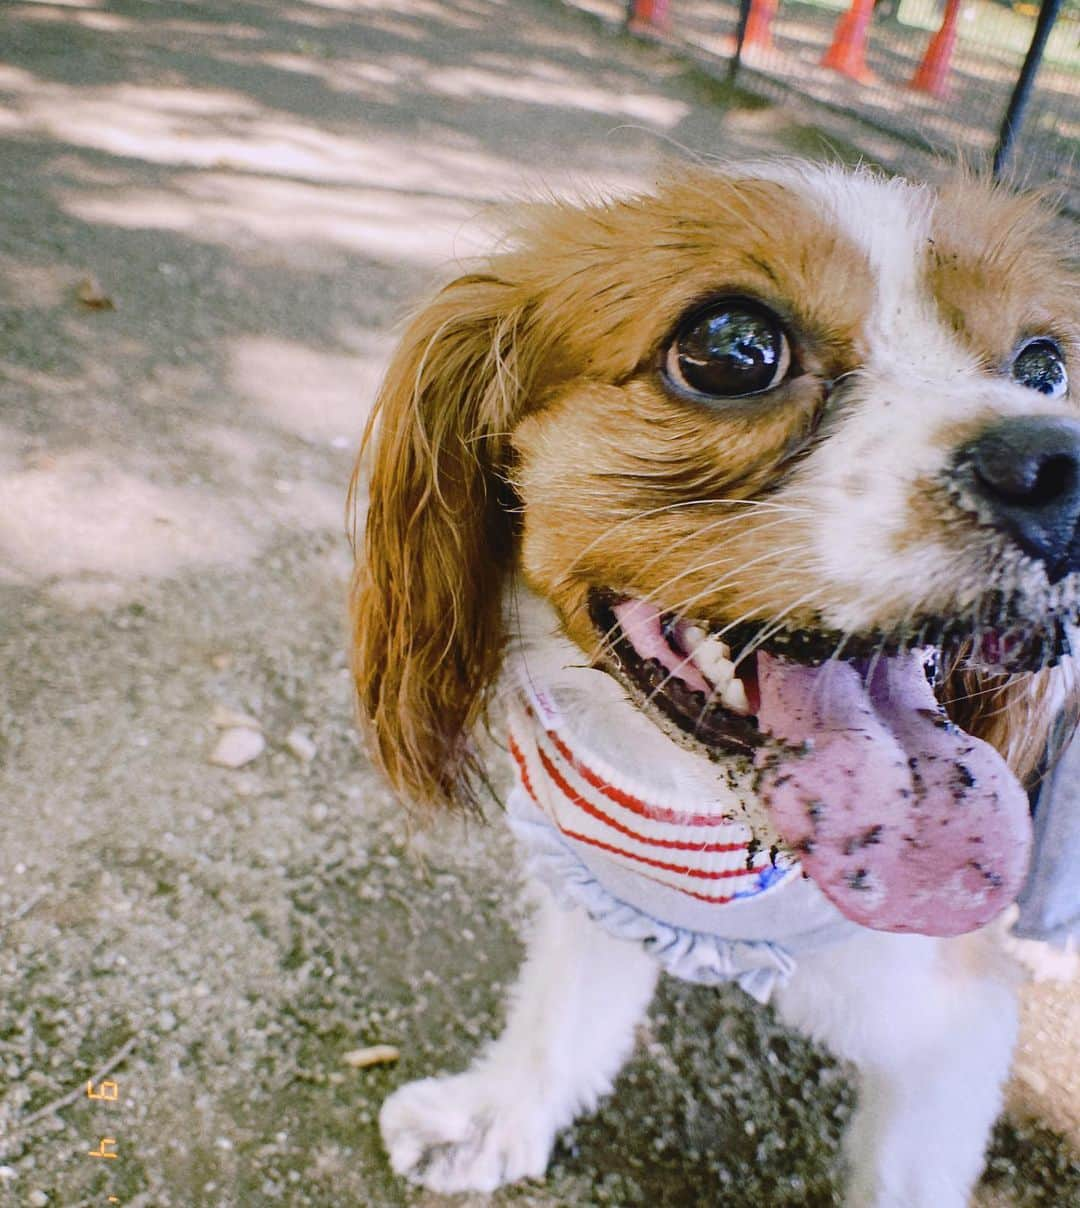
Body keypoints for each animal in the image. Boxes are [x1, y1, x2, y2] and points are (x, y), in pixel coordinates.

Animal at [350, 165, 1077, 1203]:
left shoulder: (948, 1030)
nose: (1063, 463)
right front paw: (496, 1115)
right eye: (732, 348)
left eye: (1045, 366)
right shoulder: (609, 901)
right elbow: (563, 1021)